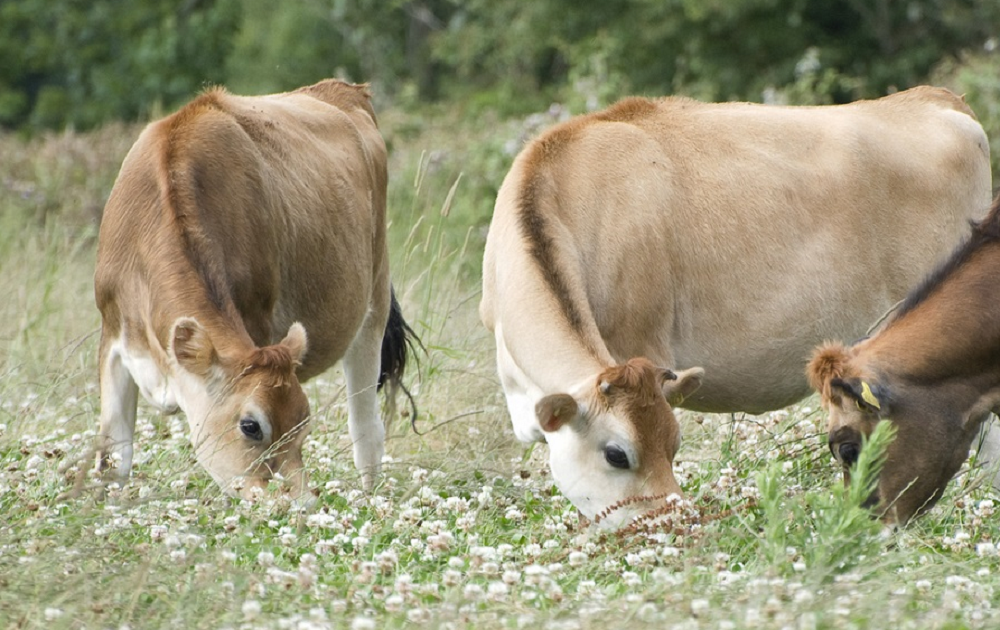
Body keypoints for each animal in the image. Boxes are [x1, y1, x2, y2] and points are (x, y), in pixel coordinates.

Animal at [94, 79, 415, 501]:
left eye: (303, 422)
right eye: (251, 425)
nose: (300, 503)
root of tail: (343, 89)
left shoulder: (257, 322)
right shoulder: (112, 335)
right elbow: (113, 458)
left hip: (373, 301)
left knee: (367, 430)